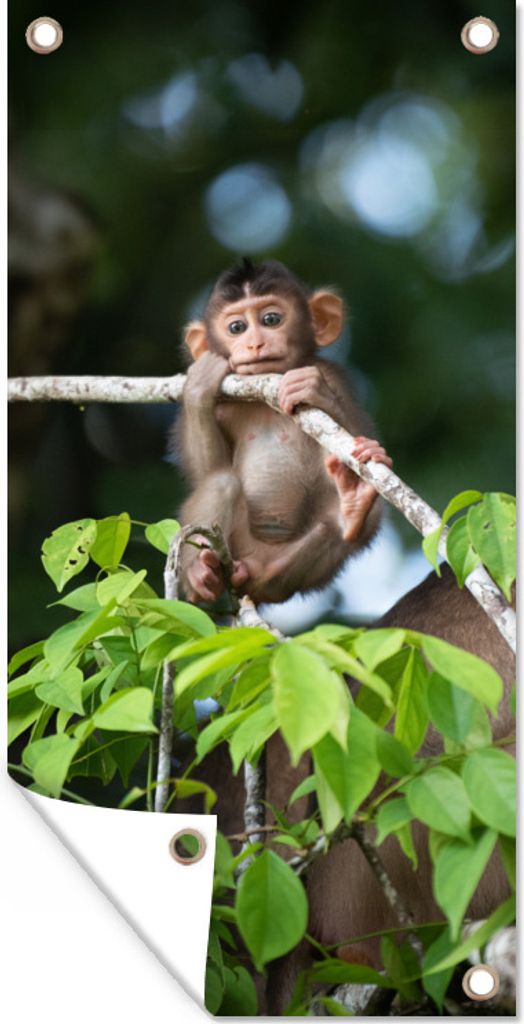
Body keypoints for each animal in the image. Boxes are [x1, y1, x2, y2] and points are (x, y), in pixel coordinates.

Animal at [173, 259, 392, 605]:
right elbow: (205, 470)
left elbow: (347, 434)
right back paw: (200, 576)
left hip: (279, 569)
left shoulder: (333, 375)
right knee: (221, 482)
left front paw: (314, 391)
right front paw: (199, 385)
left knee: (356, 523)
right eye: (236, 328)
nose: (255, 343)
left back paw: (352, 510)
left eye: (271, 319)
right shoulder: (223, 402)